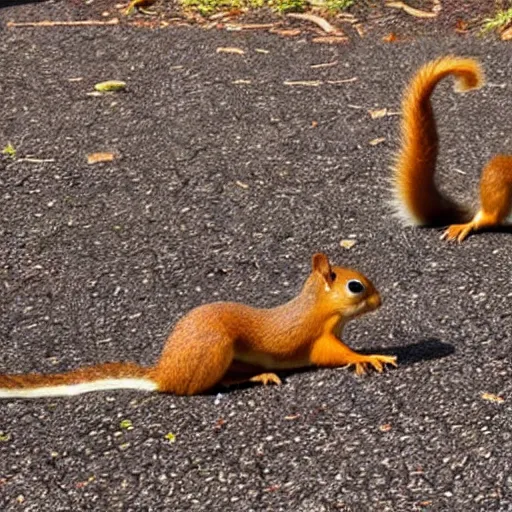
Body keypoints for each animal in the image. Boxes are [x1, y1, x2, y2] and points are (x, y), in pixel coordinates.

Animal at [0, 254, 396, 398]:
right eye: (356, 286)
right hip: (216, 350)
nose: (381, 301)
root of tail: (166, 375)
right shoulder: (318, 338)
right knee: (210, 385)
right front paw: (370, 358)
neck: (316, 307)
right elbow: (337, 355)